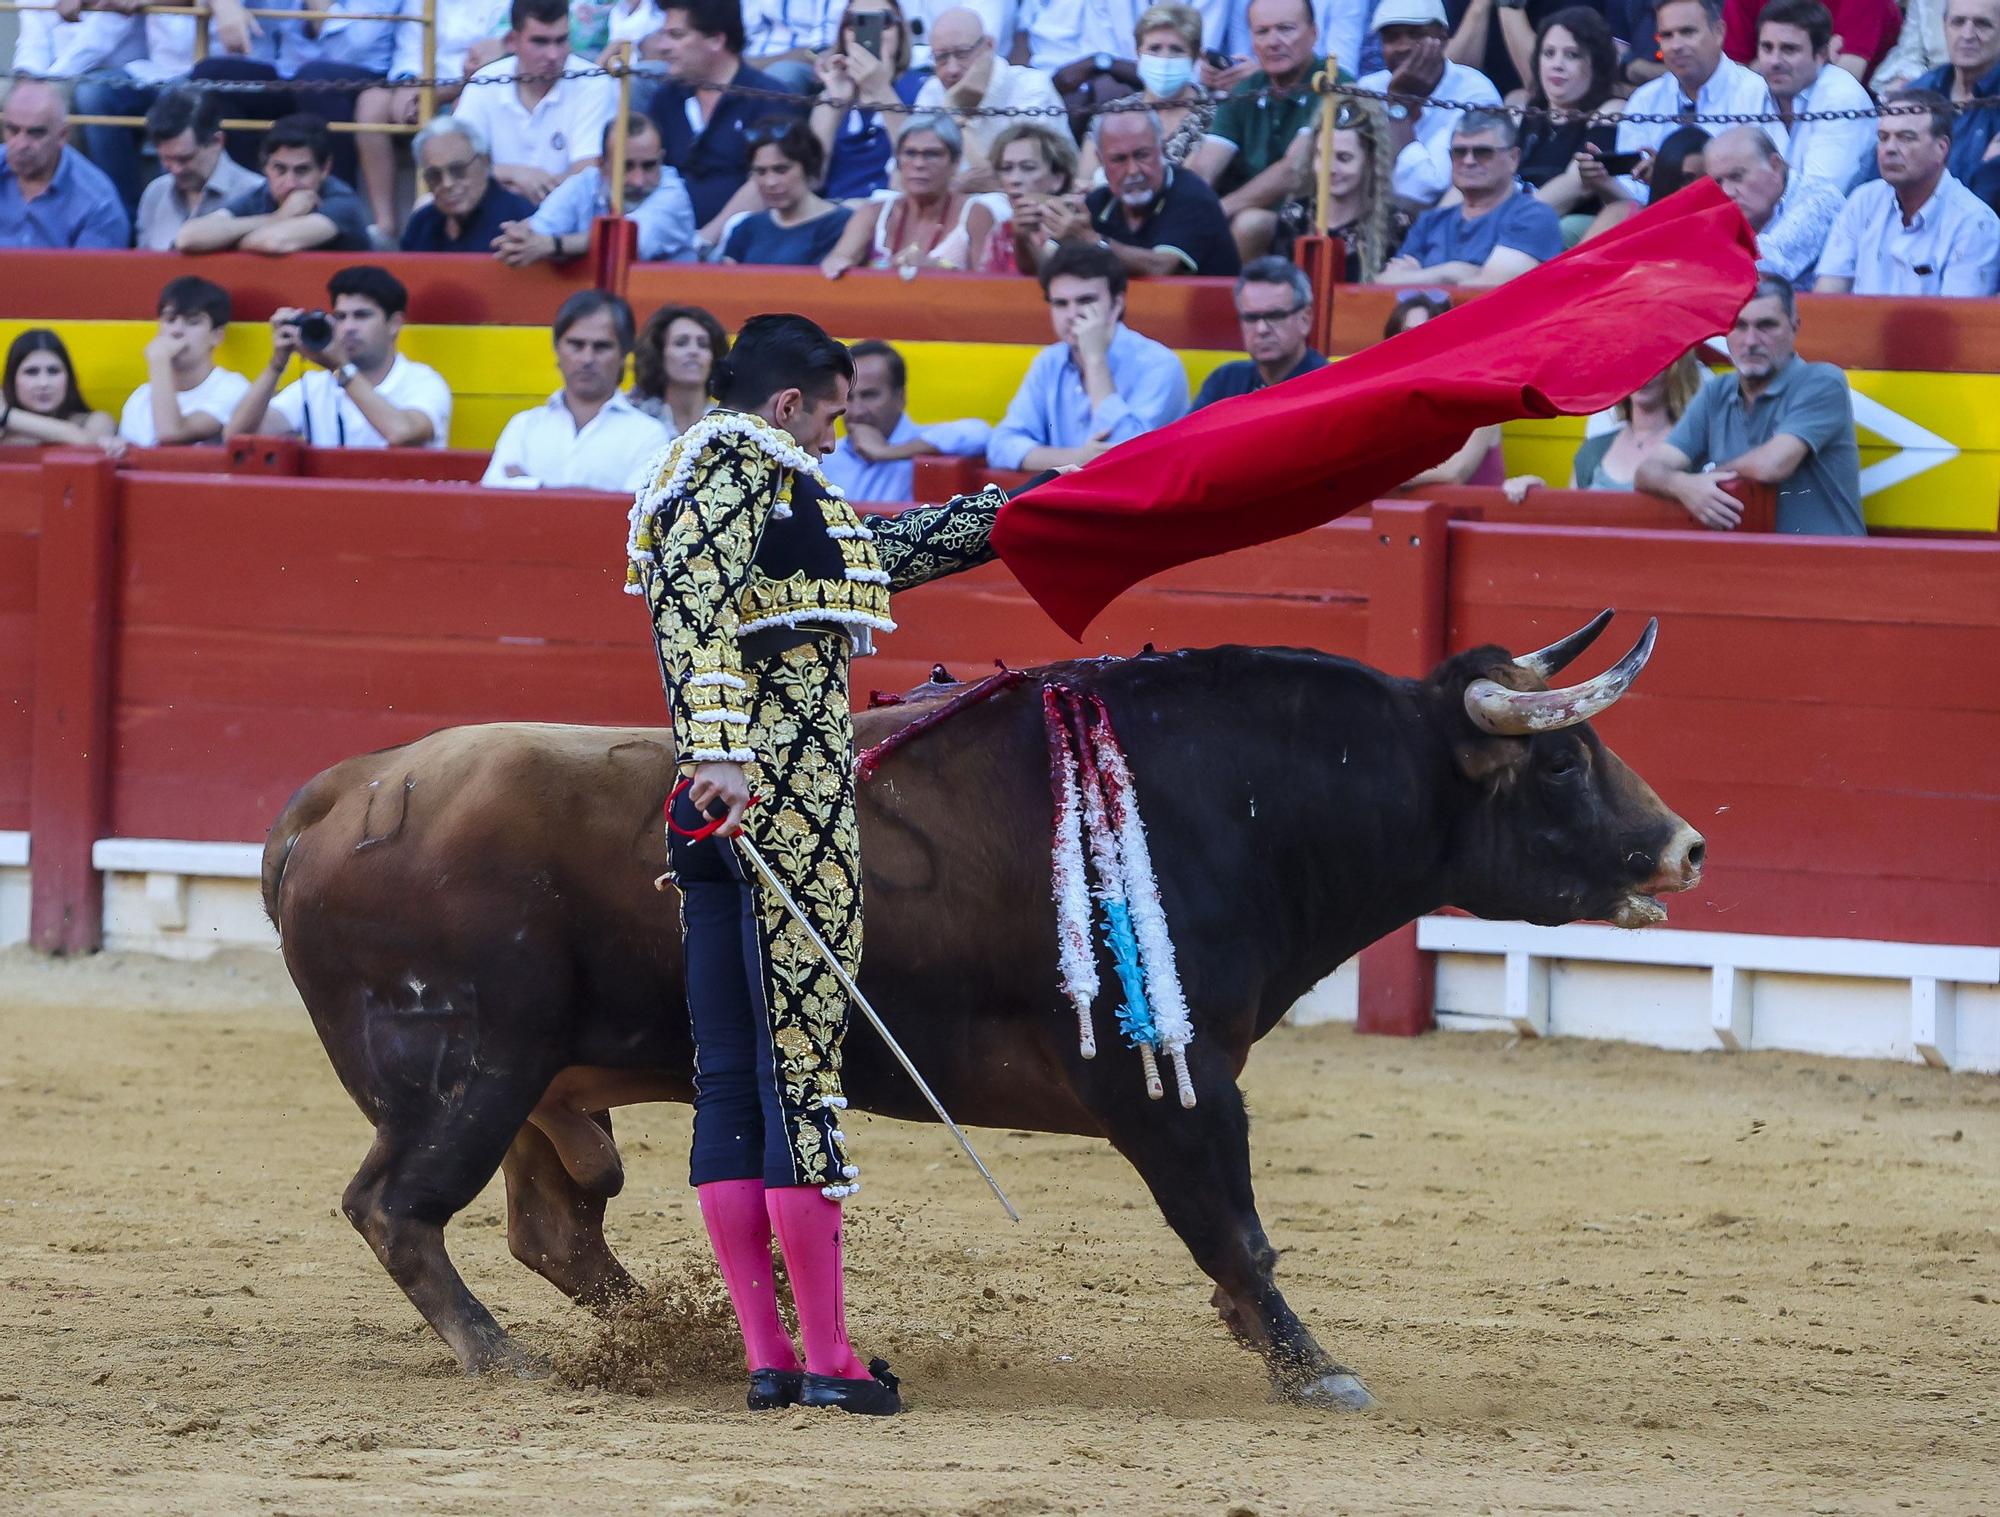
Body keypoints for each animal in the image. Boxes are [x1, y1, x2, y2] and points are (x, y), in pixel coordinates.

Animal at [266, 616, 1704, 1416]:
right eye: (1560, 758)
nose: (1682, 846)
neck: (1232, 799)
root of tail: (341, 793)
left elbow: (1230, 1236)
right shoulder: (1172, 1078)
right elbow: (1233, 1229)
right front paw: (1310, 1368)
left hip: (543, 1088)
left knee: (552, 1228)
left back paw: (708, 1336)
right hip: (465, 1068)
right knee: (398, 1208)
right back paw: (508, 1359)